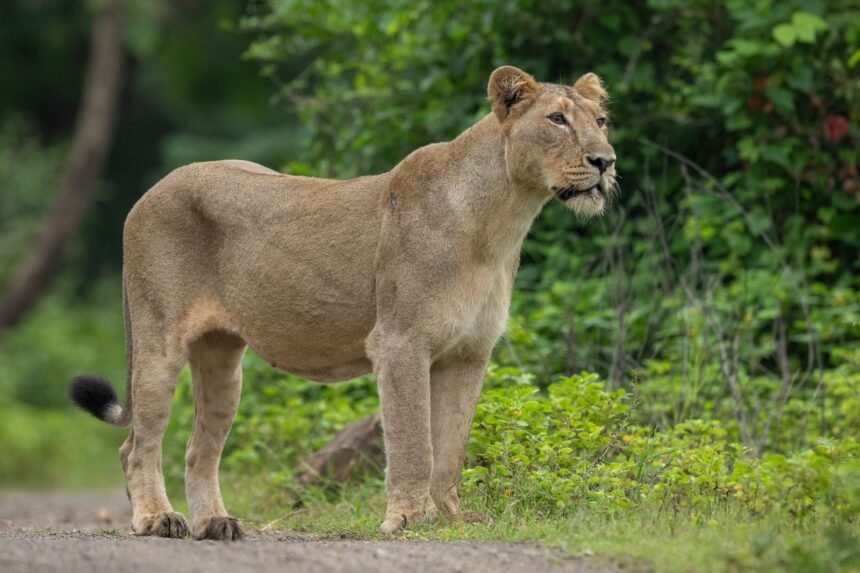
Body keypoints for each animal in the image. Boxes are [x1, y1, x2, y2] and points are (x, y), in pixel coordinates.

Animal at [70, 65, 617, 540]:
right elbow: (414, 440)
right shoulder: (400, 342)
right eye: (557, 119)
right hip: (157, 341)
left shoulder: (469, 353)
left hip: (223, 360)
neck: (501, 221)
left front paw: (450, 517)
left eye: (601, 121)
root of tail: (151, 190)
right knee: (136, 445)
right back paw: (157, 519)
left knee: (197, 450)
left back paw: (216, 524)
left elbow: (451, 447)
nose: (605, 162)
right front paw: (407, 518)